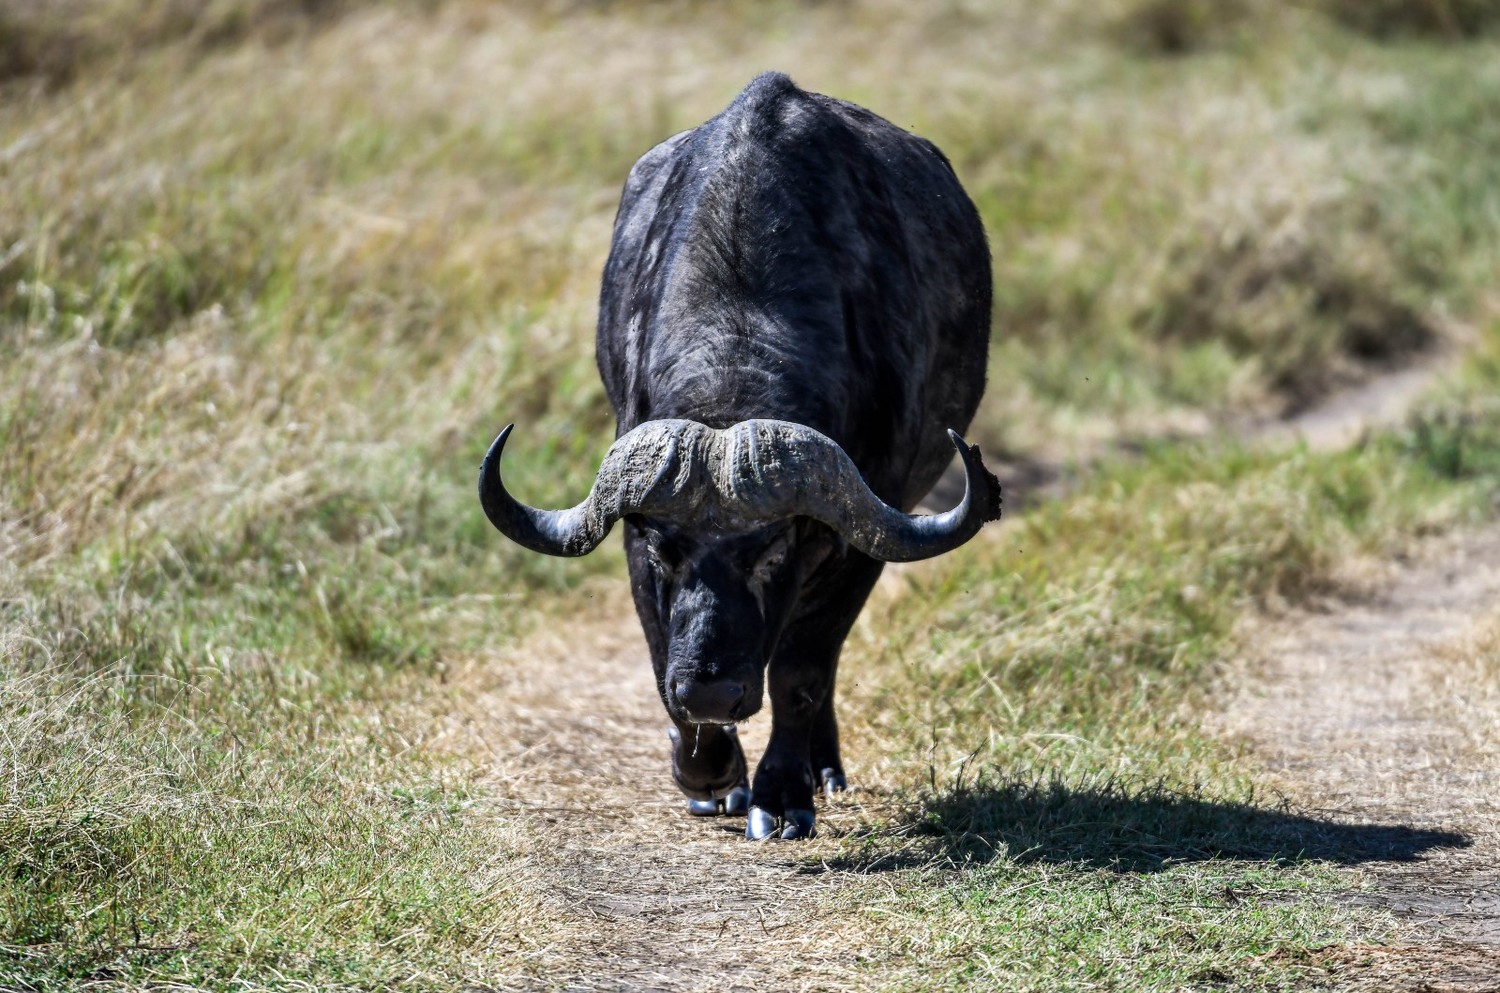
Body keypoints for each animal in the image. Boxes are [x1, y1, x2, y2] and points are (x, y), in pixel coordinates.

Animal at [477, 73, 996, 846]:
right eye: (663, 549)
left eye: (773, 549)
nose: (713, 687)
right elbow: (661, 651)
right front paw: (709, 773)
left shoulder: (861, 542)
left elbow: (802, 671)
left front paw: (780, 794)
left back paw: (822, 766)